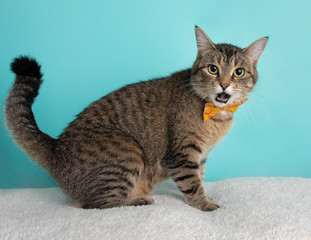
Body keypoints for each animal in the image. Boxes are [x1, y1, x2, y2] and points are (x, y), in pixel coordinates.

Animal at [4, 25, 268, 210]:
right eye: (213, 69)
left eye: (238, 72)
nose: (224, 84)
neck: (215, 113)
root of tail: (56, 148)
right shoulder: (182, 156)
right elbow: (192, 184)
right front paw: (204, 204)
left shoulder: (200, 157)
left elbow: (200, 179)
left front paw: (208, 195)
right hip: (127, 149)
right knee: (94, 204)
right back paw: (137, 200)